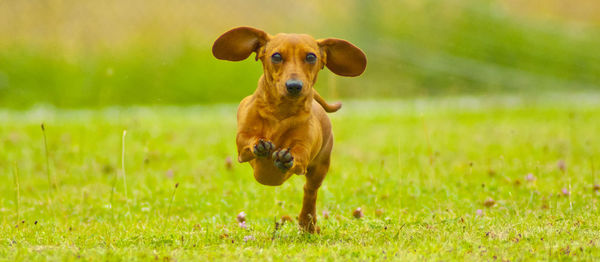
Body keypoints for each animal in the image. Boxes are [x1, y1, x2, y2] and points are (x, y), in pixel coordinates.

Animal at [213, 26, 368, 231]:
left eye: (311, 57)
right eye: (276, 56)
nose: (294, 86)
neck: (280, 113)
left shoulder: (303, 153)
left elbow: (298, 155)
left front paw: (286, 157)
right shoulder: (241, 149)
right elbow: (249, 141)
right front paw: (260, 144)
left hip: (320, 168)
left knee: (310, 191)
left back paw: (307, 223)